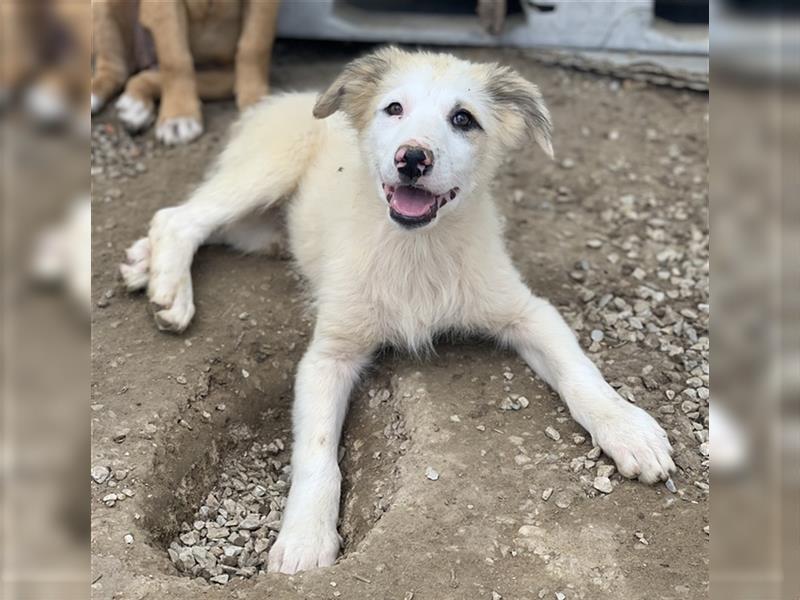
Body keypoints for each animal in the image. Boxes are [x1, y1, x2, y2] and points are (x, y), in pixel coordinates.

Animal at [92, 0, 282, 144]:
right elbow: (176, 59)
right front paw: (179, 115)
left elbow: (255, 45)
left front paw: (261, 106)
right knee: (115, 70)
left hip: (225, 76)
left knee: (142, 76)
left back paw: (136, 105)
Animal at [120, 45, 676, 572]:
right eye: (393, 108)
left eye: (463, 118)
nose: (412, 158)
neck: (416, 249)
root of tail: (289, 98)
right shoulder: (328, 355)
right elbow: (317, 454)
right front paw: (304, 540)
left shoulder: (527, 310)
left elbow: (581, 374)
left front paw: (628, 429)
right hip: (265, 175)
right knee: (180, 216)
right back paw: (169, 289)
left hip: (262, 232)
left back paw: (143, 263)